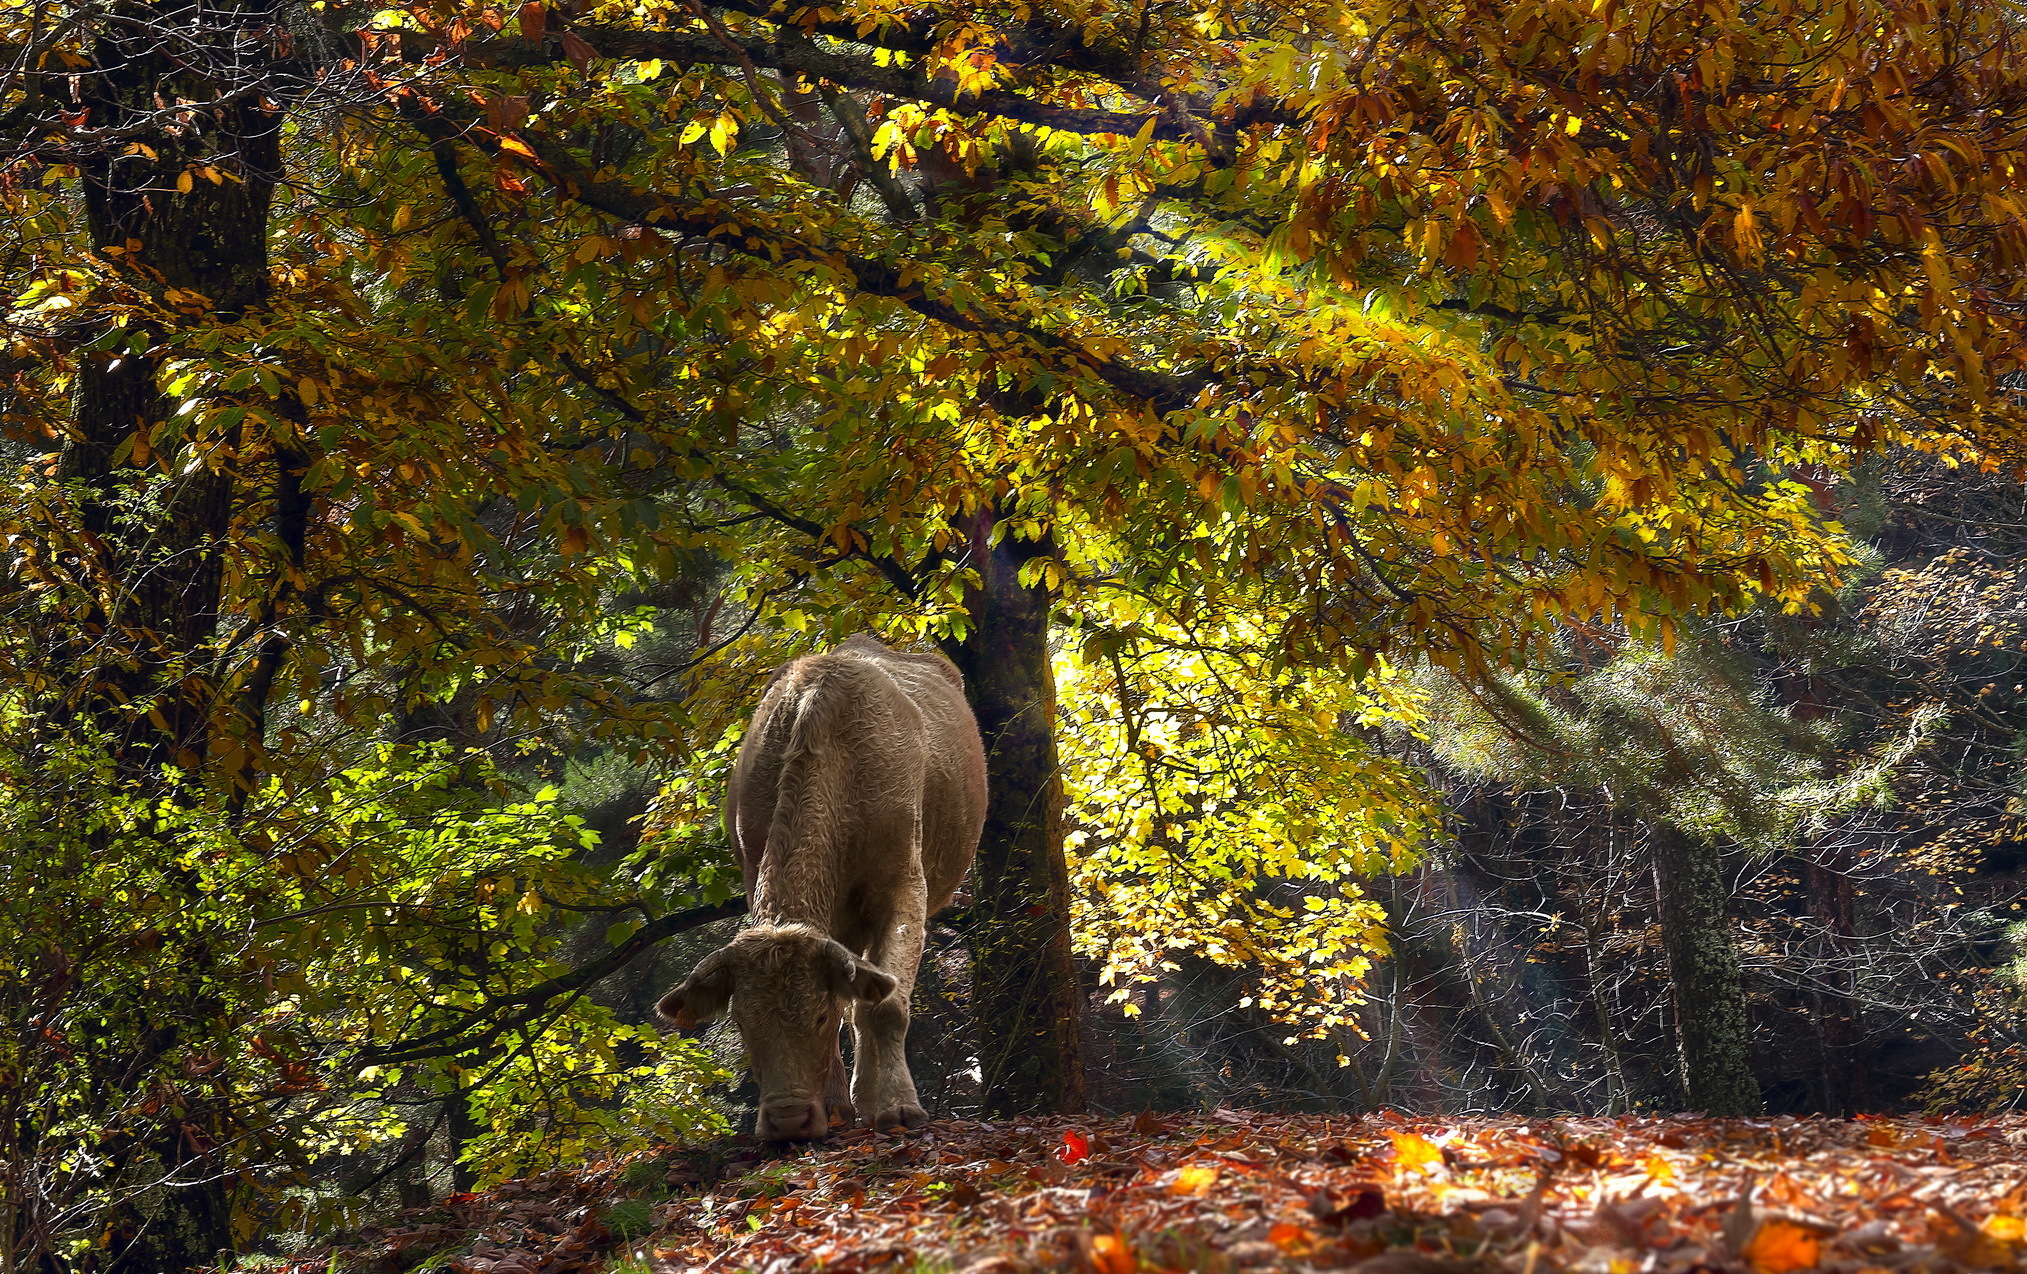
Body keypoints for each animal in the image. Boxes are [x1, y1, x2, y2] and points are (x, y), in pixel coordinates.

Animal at [660, 640, 985, 1134]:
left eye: (818, 1015)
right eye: (741, 1023)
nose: (787, 1119)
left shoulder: (904, 888)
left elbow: (885, 1004)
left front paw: (896, 1106)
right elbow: (856, 1005)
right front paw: (836, 1108)